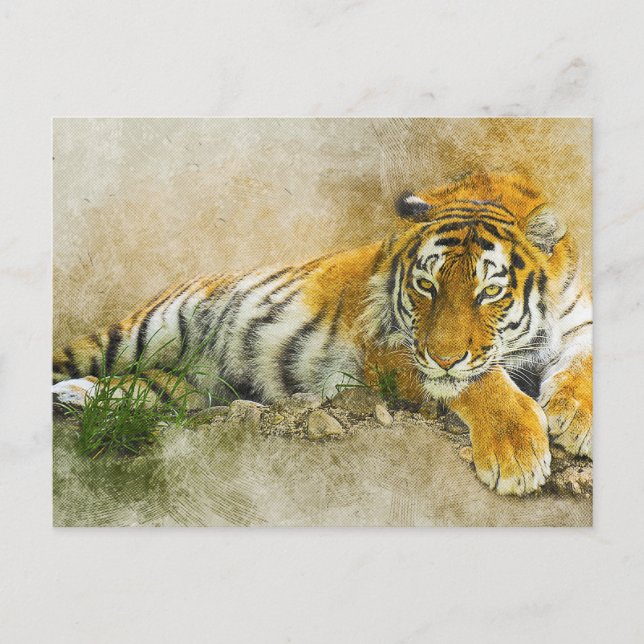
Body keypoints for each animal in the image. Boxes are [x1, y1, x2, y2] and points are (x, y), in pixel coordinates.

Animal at [53, 173, 592, 496]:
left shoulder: (578, 318)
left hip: (193, 387)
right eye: (426, 285)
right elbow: (479, 381)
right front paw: (517, 454)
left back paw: (78, 397)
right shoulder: (392, 348)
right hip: (141, 332)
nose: (443, 356)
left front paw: (575, 419)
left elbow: (582, 359)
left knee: (147, 390)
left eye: (490, 292)